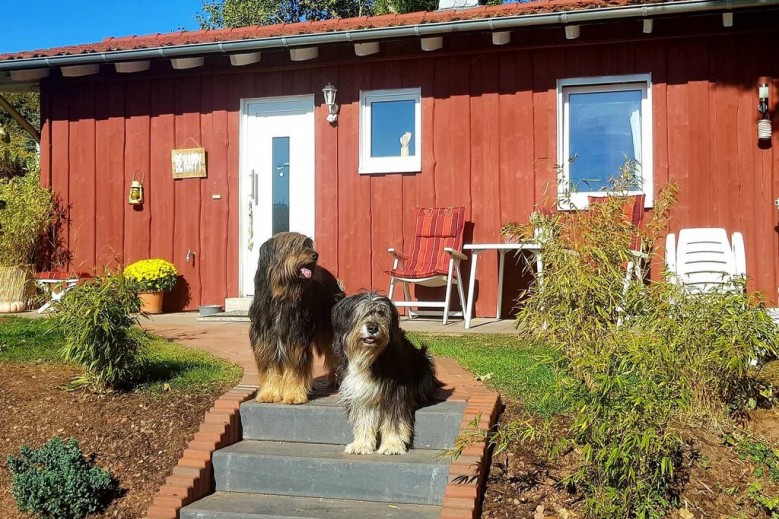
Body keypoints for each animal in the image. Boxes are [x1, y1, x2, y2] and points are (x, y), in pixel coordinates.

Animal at [250, 232, 344, 406]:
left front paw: (294, 395)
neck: (282, 296)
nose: (315, 255)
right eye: (294, 245)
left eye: (308, 244)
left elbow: (295, 369)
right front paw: (269, 393)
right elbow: (270, 368)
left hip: (329, 329)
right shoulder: (266, 340)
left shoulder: (295, 338)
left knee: (334, 354)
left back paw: (337, 380)